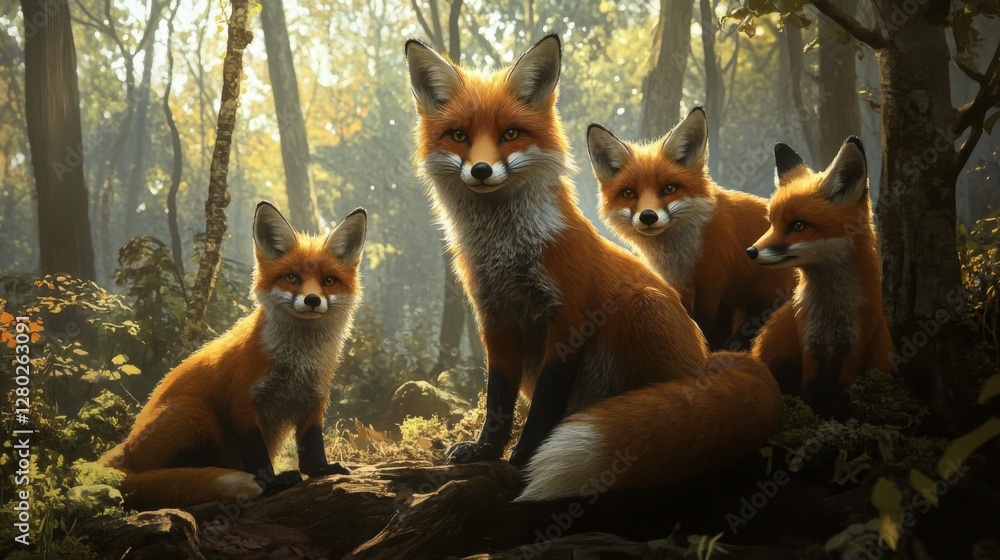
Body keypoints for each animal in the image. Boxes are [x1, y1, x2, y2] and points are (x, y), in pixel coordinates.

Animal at [99, 202, 367, 509]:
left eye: (329, 281)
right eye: (291, 277)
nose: (312, 300)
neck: (296, 361)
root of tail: (123, 452)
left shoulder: (314, 398)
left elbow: (312, 448)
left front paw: (321, 470)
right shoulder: (242, 401)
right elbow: (257, 455)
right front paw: (271, 483)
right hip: (192, 411)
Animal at [588, 111, 797, 350]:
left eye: (670, 188)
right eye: (629, 193)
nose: (648, 216)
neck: (681, 256)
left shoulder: (714, 281)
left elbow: (706, 325)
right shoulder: (680, 286)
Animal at [747, 137, 894, 420]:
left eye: (798, 226)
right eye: (772, 223)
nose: (751, 251)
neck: (831, 314)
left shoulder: (855, 349)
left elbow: (841, 398)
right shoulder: (809, 345)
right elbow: (810, 394)